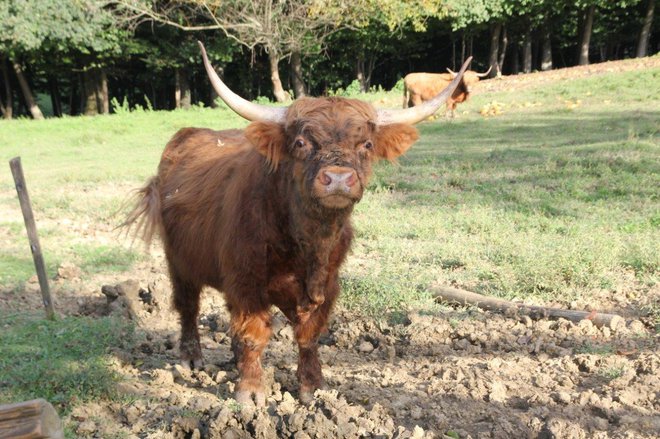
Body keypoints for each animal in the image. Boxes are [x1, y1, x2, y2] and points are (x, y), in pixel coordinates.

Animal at [126, 43, 470, 408]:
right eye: (302, 143)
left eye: (366, 145)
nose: (338, 179)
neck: (308, 242)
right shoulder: (246, 280)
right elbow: (253, 332)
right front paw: (250, 391)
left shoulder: (327, 284)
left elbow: (308, 335)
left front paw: (312, 387)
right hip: (179, 262)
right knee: (188, 306)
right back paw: (192, 358)